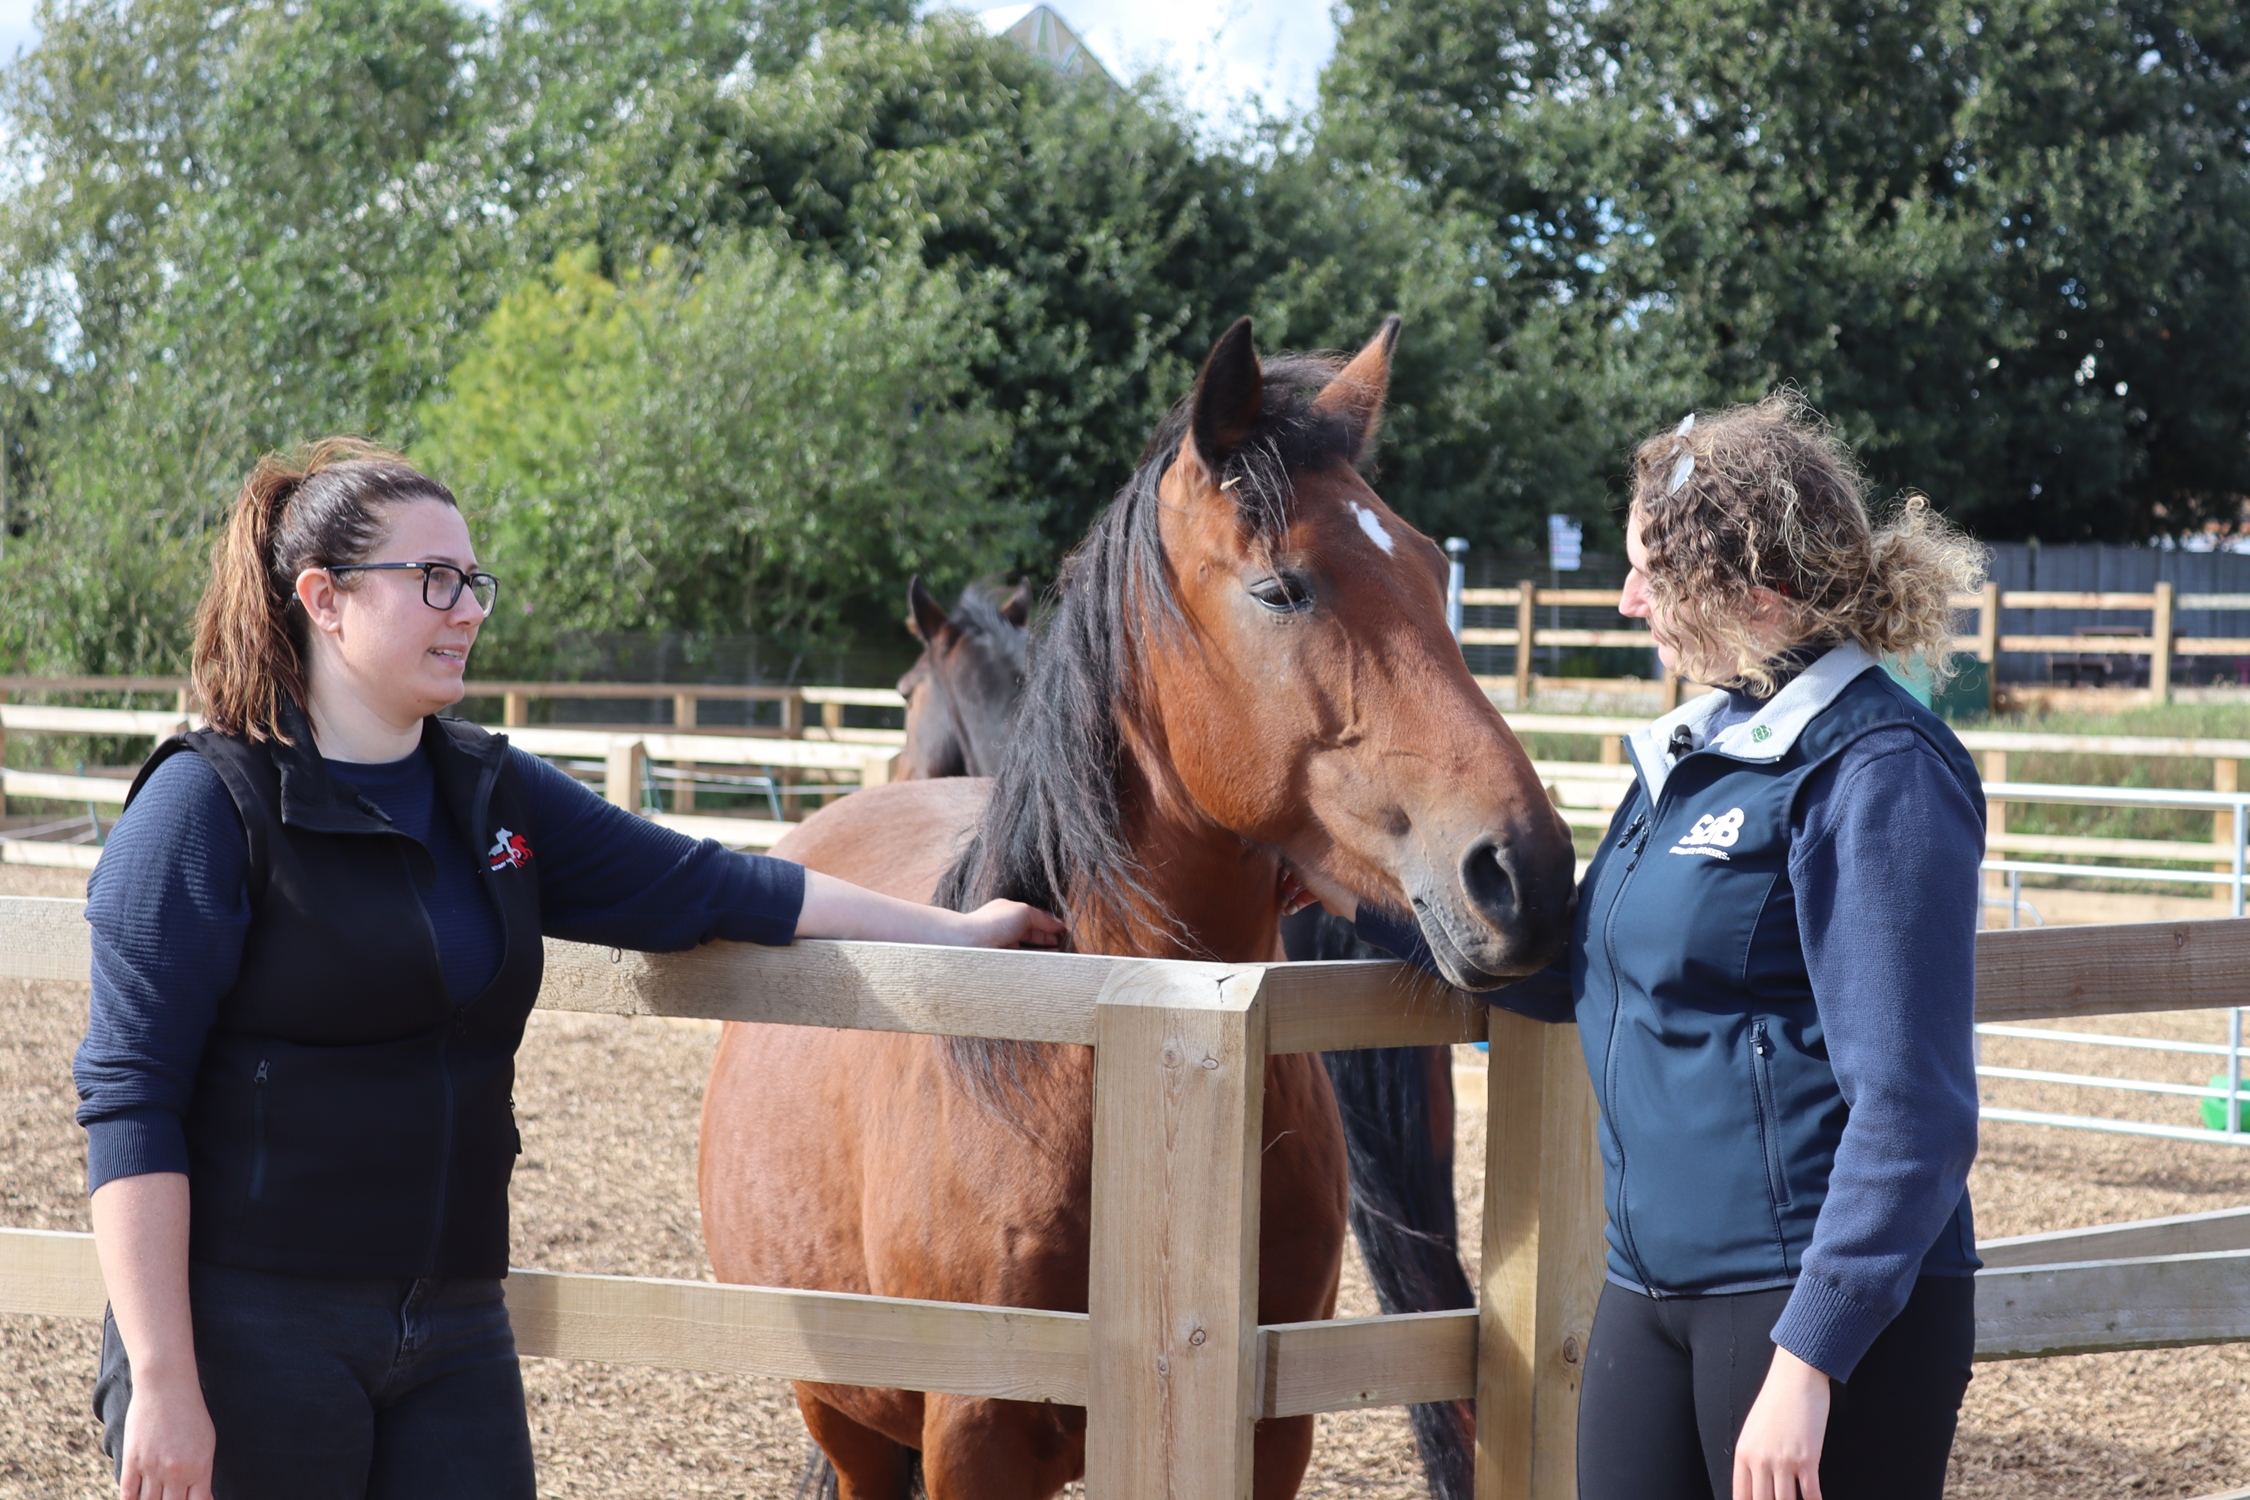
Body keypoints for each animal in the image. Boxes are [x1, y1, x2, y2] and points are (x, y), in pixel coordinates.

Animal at [693, 319, 1575, 1500]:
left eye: (1437, 573)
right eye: (1281, 588)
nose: (1525, 870)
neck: (1099, 1051)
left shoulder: (1269, 1435)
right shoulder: (972, 1438)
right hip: (844, 1412)